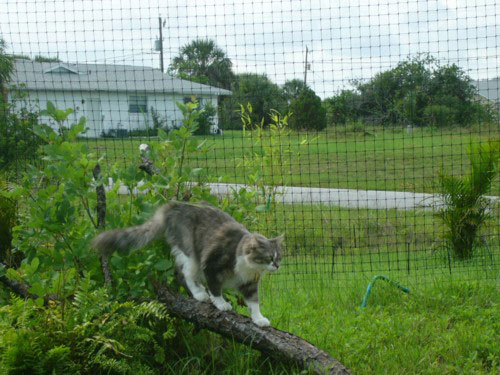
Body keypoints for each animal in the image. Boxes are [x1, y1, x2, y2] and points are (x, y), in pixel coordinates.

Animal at [92, 201, 284, 328]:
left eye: (279, 257)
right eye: (269, 257)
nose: (276, 266)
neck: (247, 268)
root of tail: (175, 204)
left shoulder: (250, 284)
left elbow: (254, 302)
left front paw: (259, 319)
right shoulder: (211, 266)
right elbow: (216, 289)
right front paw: (221, 304)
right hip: (191, 254)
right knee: (183, 274)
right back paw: (200, 294)